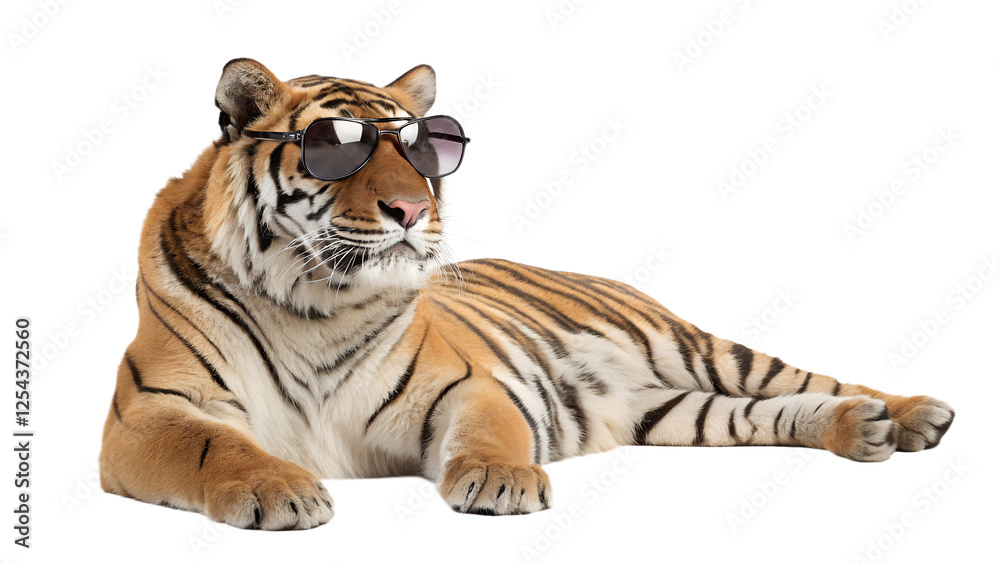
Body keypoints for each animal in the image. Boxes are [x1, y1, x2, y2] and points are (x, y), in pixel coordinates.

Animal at [99, 58, 955, 530]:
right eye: (335, 149)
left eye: (423, 148)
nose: (412, 209)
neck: (313, 301)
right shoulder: (149, 412)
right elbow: (217, 443)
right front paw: (277, 485)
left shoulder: (463, 383)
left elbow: (491, 430)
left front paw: (502, 480)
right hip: (671, 409)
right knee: (764, 412)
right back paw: (864, 430)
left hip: (700, 349)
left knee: (809, 377)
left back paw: (913, 415)